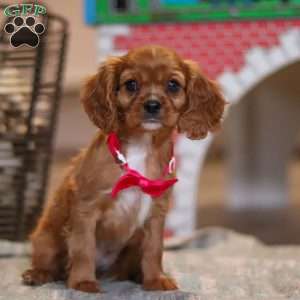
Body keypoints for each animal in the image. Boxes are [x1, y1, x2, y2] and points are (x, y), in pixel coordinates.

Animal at [22, 45, 225, 292]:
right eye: (131, 84)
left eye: (173, 85)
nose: (152, 104)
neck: (141, 147)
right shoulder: (85, 208)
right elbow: (83, 248)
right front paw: (83, 283)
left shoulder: (156, 212)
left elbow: (154, 249)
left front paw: (156, 280)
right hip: (45, 238)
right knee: (49, 262)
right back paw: (37, 274)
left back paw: (138, 276)